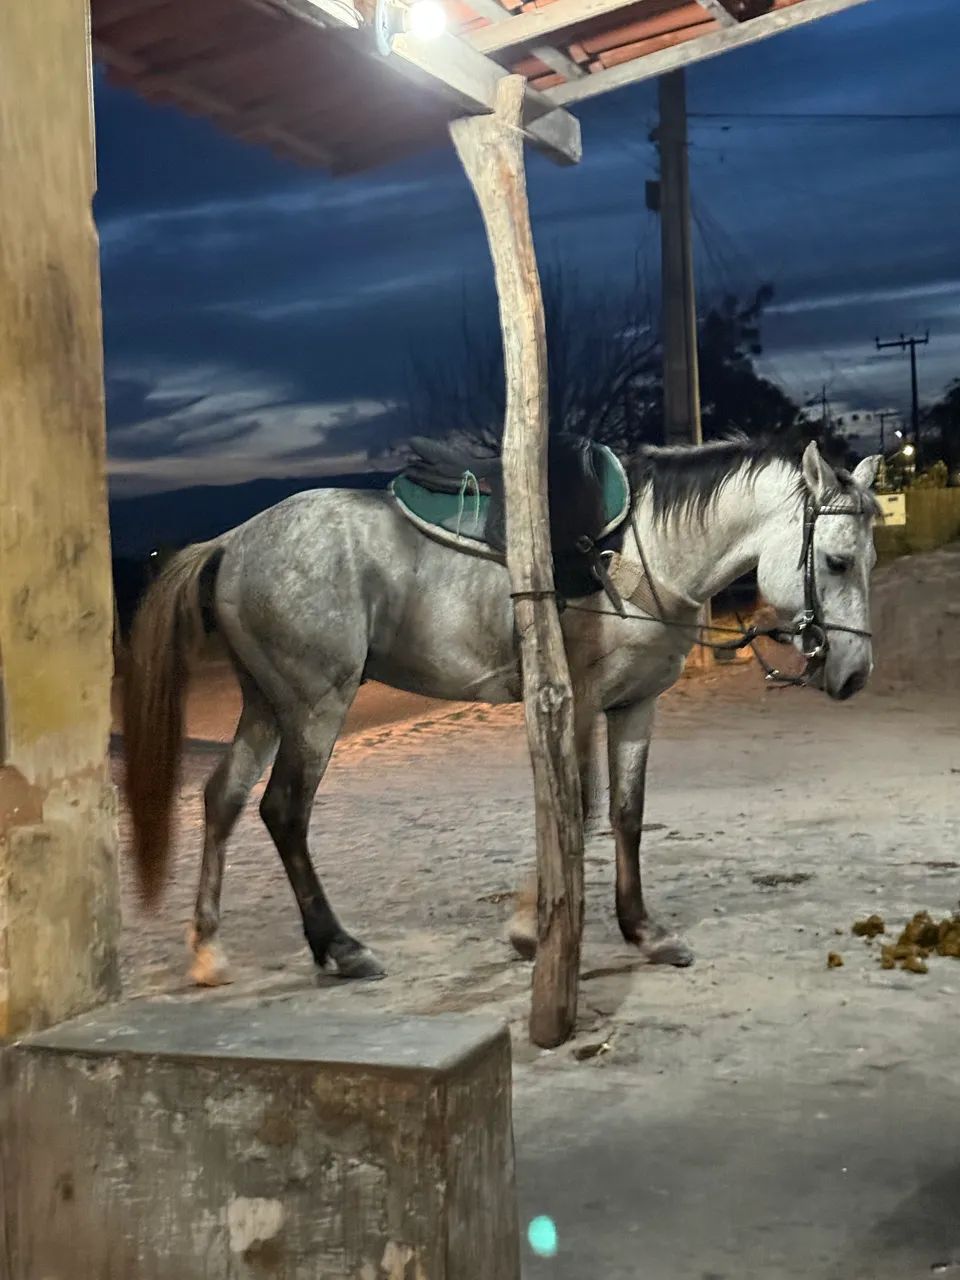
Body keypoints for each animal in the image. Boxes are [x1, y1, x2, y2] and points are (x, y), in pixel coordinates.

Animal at [121, 437, 881, 986]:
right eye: (838, 562)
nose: (854, 675)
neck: (642, 553)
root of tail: (231, 540)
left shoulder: (635, 705)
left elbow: (627, 815)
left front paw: (644, 931)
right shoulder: (578, 702)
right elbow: (577, 807)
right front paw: (529, 926)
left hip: (266, 704)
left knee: (222, 798)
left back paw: (208, 949)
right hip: (314, 705)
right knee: (282, 810)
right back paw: (339, 947)